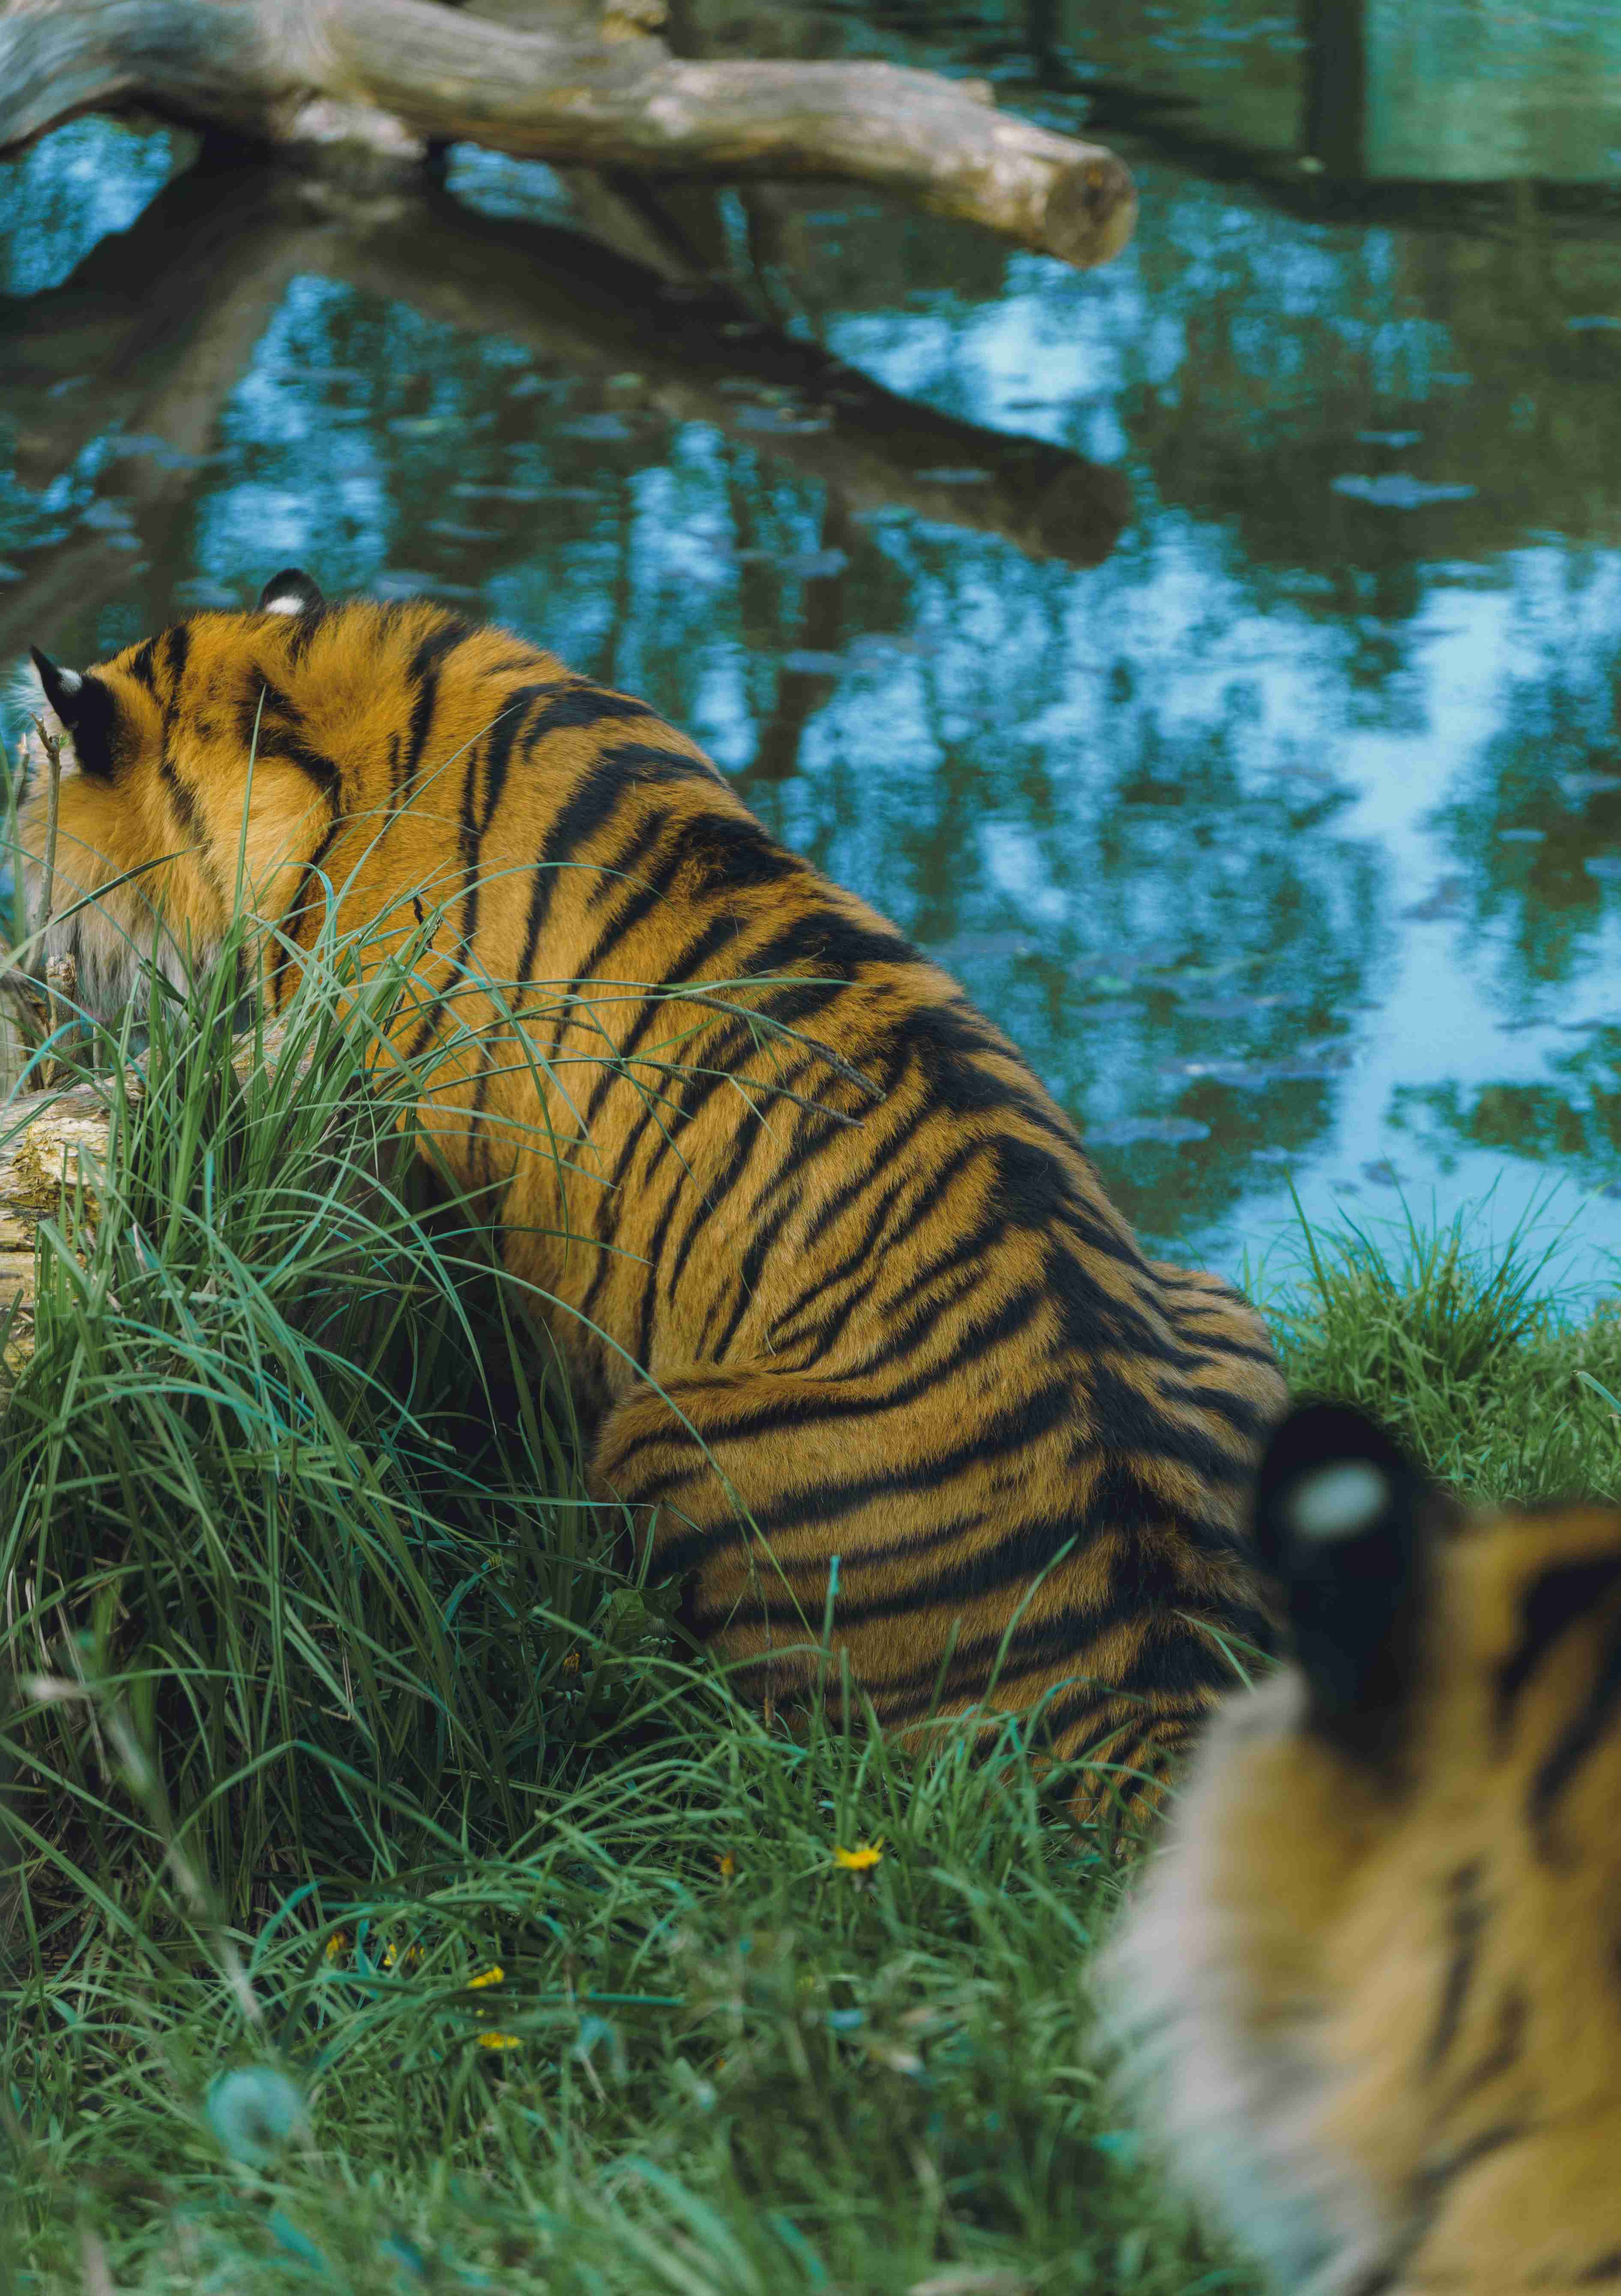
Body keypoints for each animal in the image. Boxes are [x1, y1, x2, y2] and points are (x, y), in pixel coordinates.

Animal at [14, 569, 1286, 1820]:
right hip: (1220, 1300)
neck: (313, 726)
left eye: (24, 821)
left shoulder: (437, 1207)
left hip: (663, 1439)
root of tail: (1151, 1632)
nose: (23, 971)